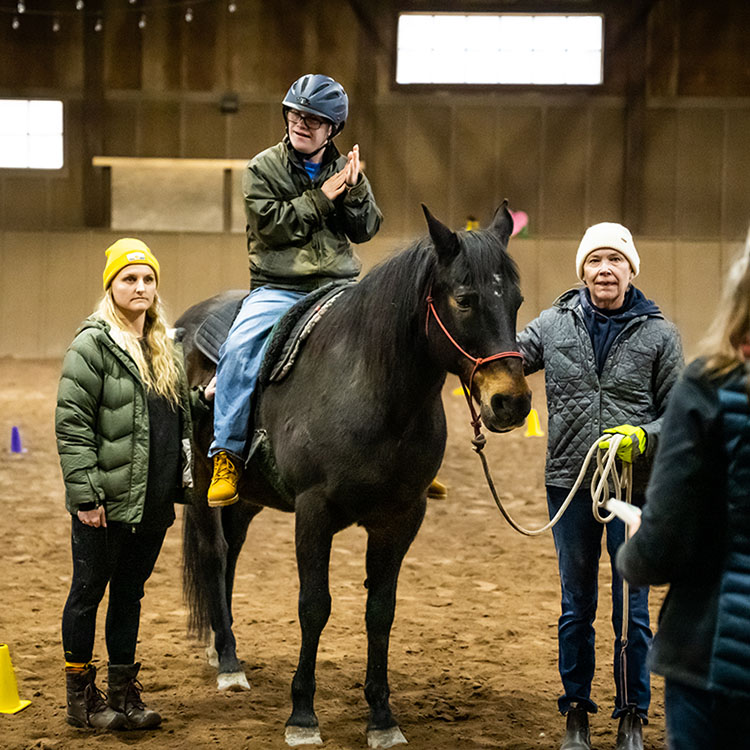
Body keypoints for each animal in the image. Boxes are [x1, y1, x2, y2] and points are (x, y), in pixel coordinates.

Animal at [178, 203, 532, 748]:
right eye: (465, 299)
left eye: (515, 300)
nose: (510, 402)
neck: (371, 387)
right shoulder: (313, 511)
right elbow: (314, 605)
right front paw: (303, 715)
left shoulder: (401, 517)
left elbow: (380, 612)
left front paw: (382, 718)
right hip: (200, 485)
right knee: (215, 555)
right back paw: (230, 665)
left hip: (247, 497)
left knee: (232, 553)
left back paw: (223, 648)